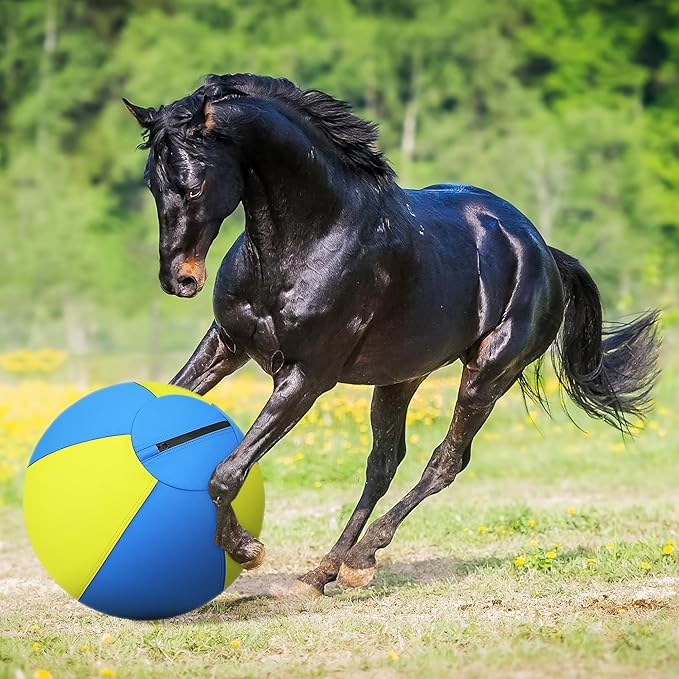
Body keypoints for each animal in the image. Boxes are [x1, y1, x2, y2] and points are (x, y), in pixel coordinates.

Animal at [124, 73, 660, 595]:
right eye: (152, 183)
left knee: (445, 461)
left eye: (193, 186)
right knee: (383, 463)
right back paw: (324, 571)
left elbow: (226, 472)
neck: (309, 237)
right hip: (401, 377)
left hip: (489, 373)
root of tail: (543, 250)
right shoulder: (226, 344)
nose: (179, 279)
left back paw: (360, 560)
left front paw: (246, 549)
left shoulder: (305, 378)